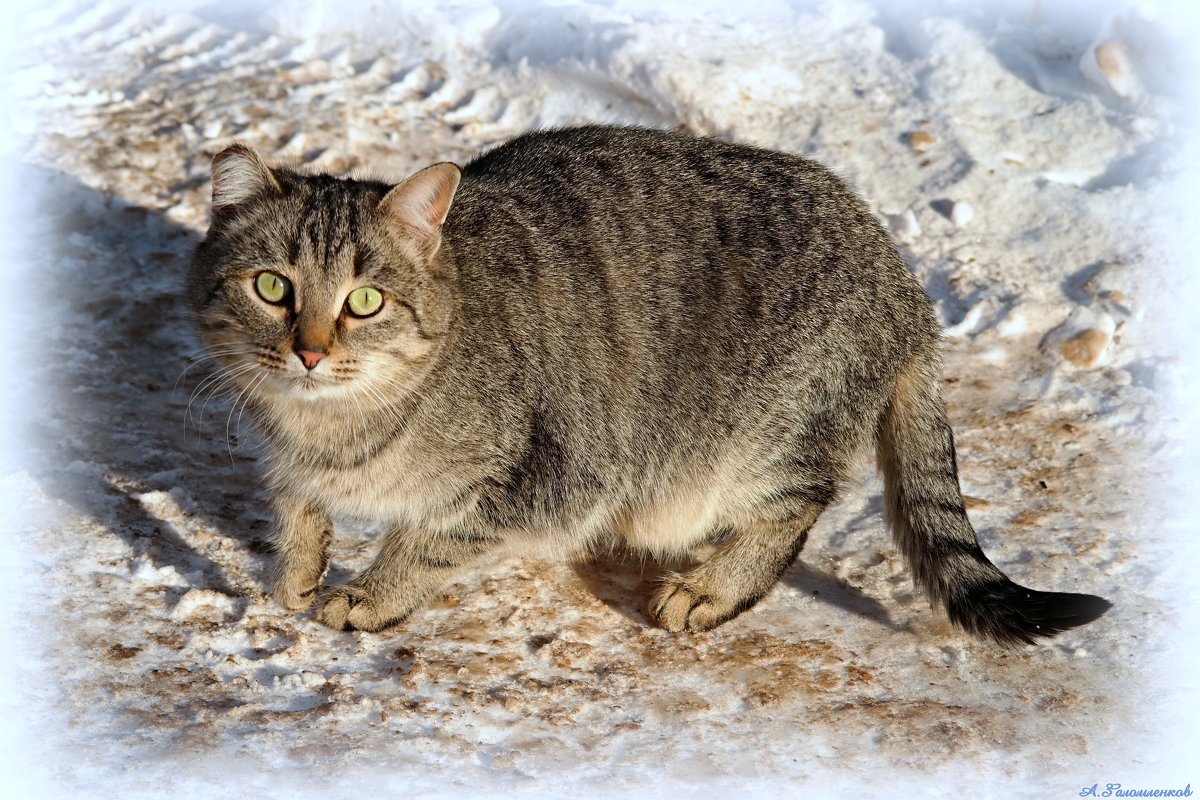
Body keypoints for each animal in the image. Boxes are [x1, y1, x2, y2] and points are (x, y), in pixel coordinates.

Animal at [187, 128, 1113, 647]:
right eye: (271, 287)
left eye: (365, 301)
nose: (308, 353)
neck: (331, 426)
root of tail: (904, 282)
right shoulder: (286, 457)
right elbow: (296, 509)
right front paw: (298, 569)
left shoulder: (538, 481)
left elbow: (429, 541)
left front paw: (370, 595)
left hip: (758, 444)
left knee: (797, 505)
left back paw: (713, 587)